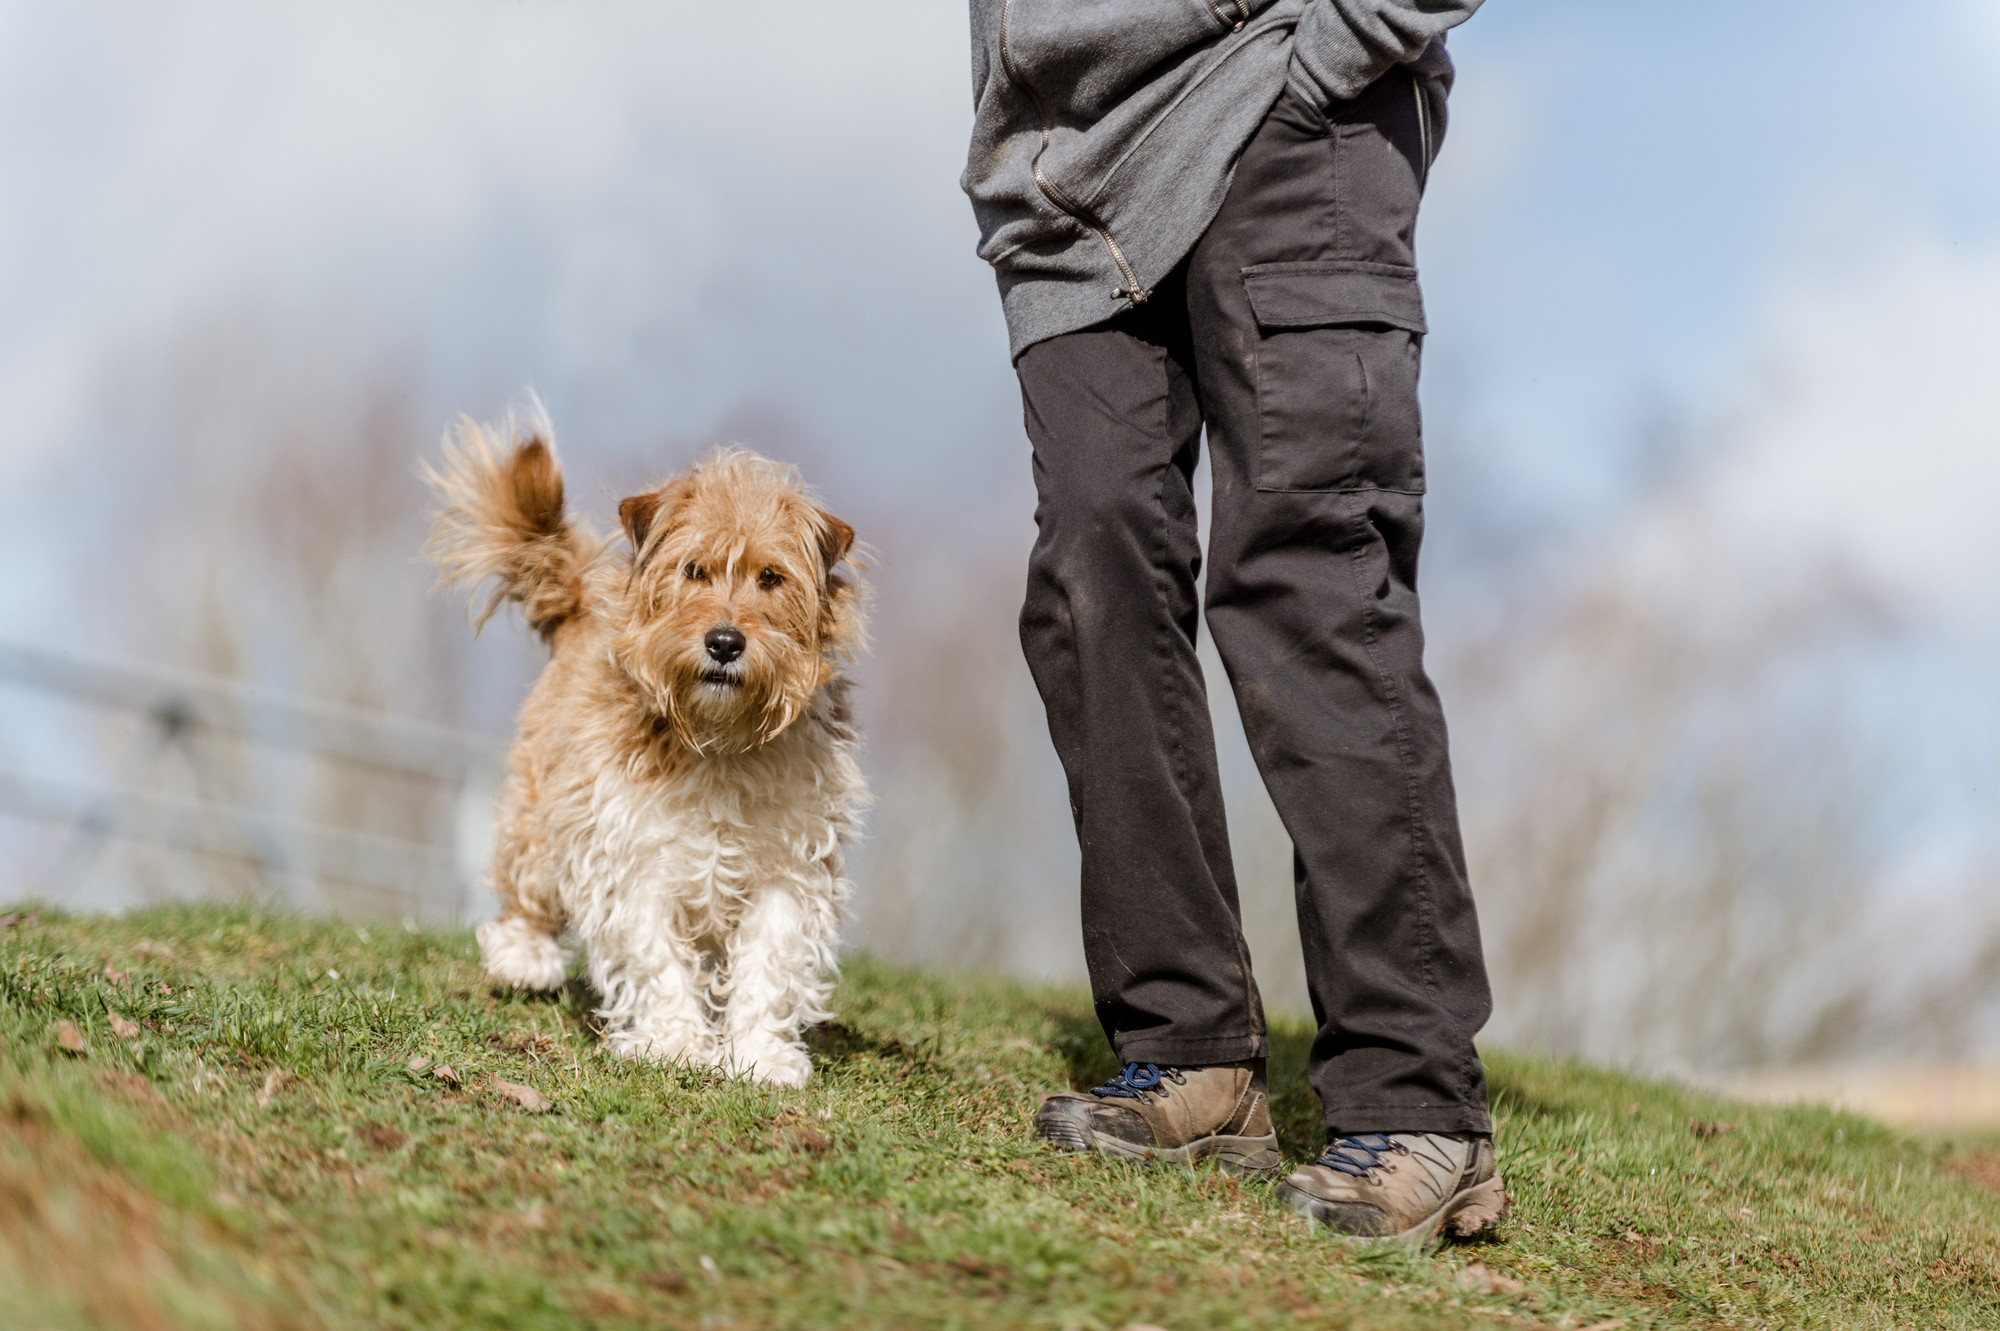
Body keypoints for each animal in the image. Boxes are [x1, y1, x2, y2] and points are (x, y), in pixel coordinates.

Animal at [426, 409, 864, 1087]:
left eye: (770, 577)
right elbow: (655, 957)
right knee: (525, 890)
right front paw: (675, 1041)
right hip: (540, 820)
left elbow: (769, 963)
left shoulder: (788, 869)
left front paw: (759, 1056)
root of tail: (581, 603)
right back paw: (524, 959)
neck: (719, 740)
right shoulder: (630, 855)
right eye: (693, 570)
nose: (724, 642)